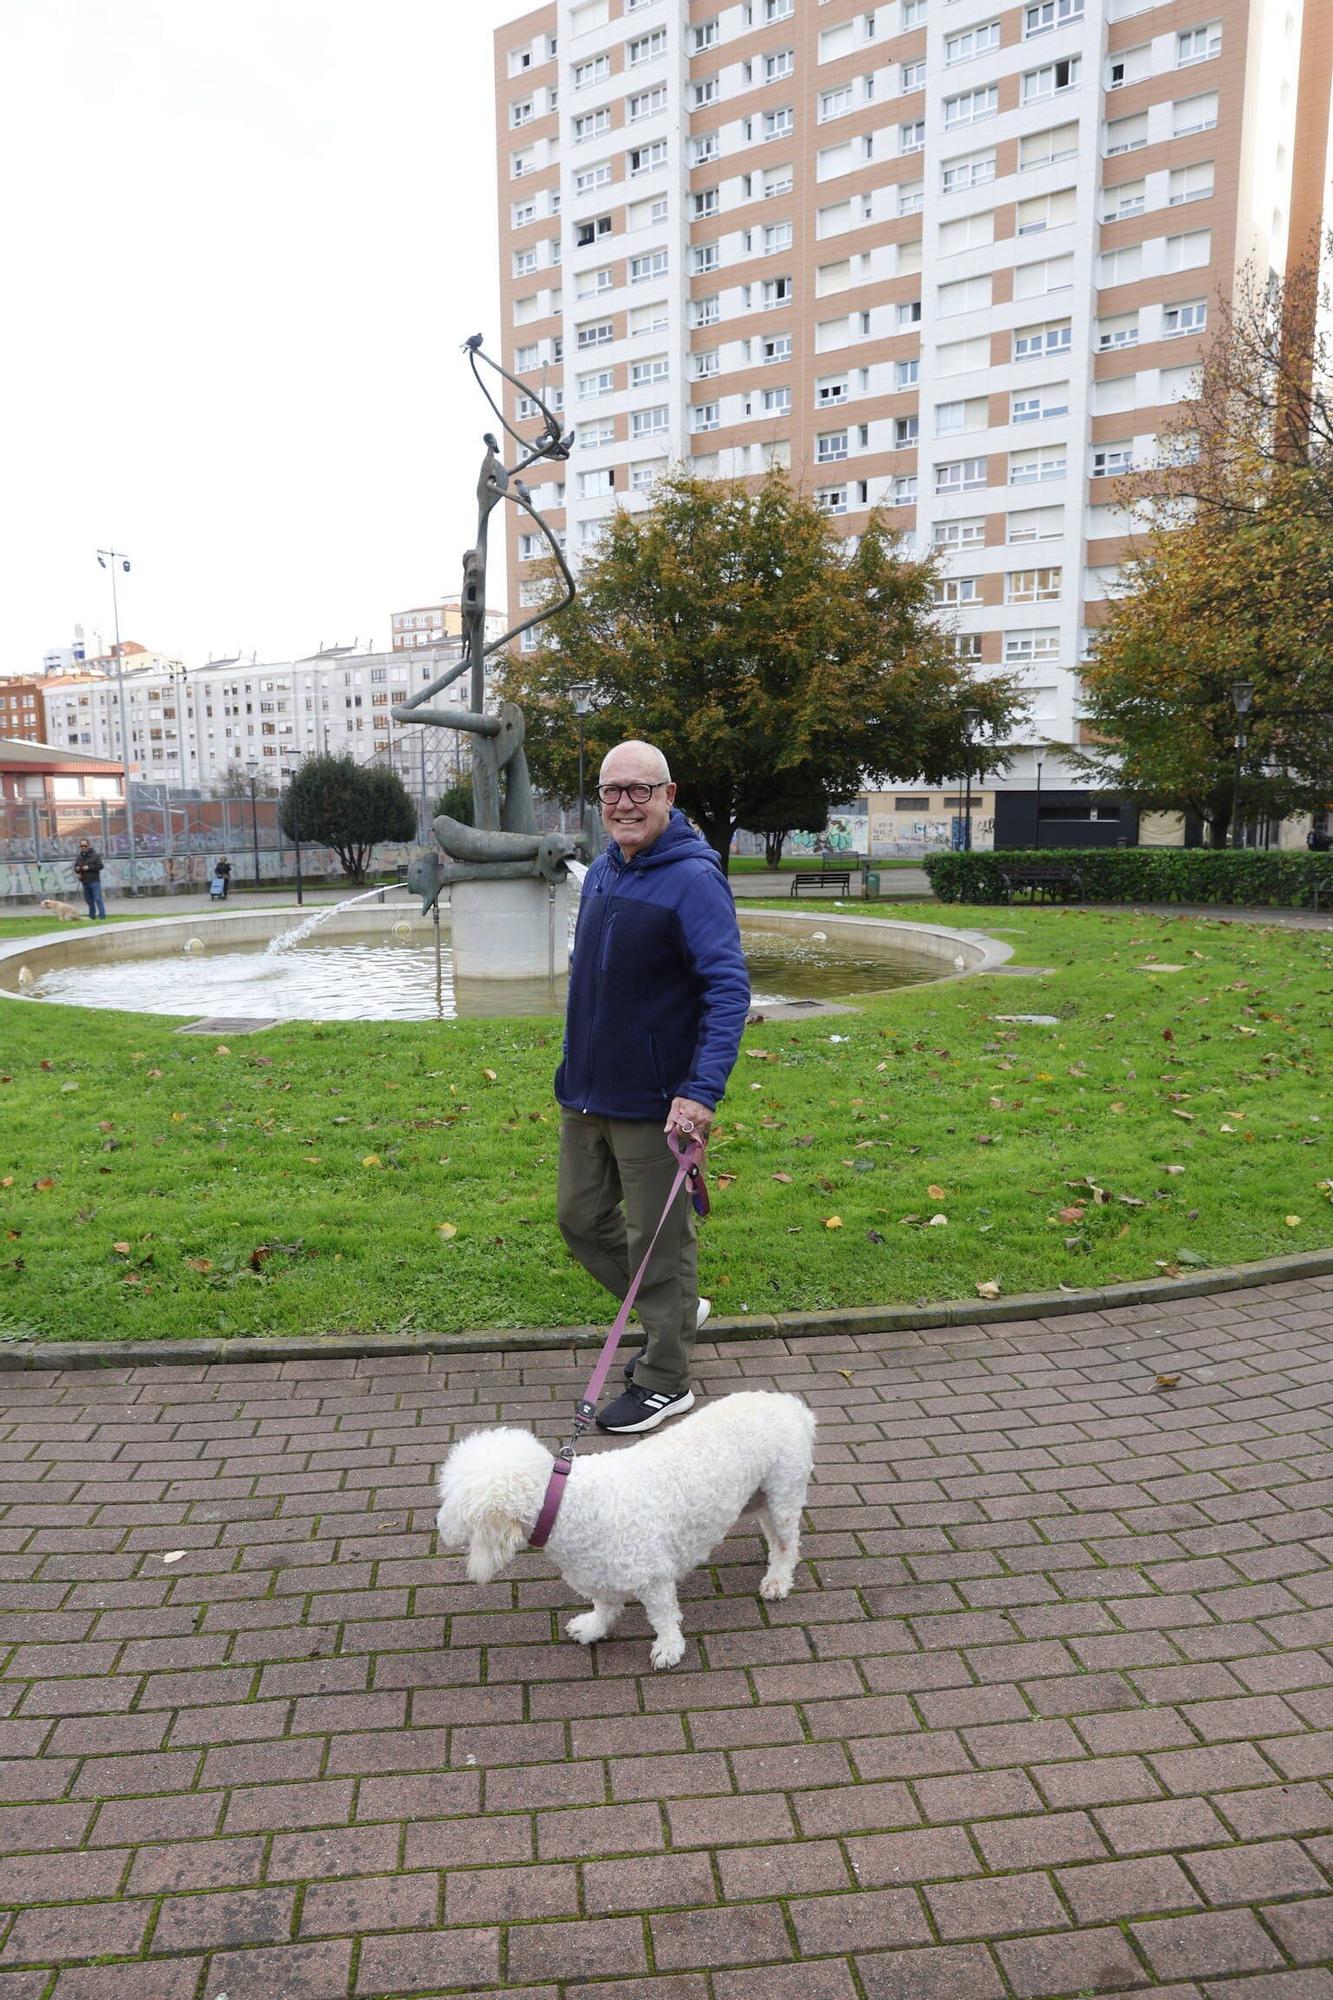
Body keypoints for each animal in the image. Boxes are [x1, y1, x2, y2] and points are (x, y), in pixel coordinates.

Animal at [434, 1392, 808, 1672]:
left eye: (452, 1499)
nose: (440, 1526)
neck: (569, 1503)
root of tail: (791, 1404)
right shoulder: (599, 1572)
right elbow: (604, 1608)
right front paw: (593, 1629)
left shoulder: (654, 1579)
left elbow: (663, 1617)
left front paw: (669, 1648)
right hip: (760, 1498)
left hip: (783, 1494)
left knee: (788, 1544)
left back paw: (778, 1580)